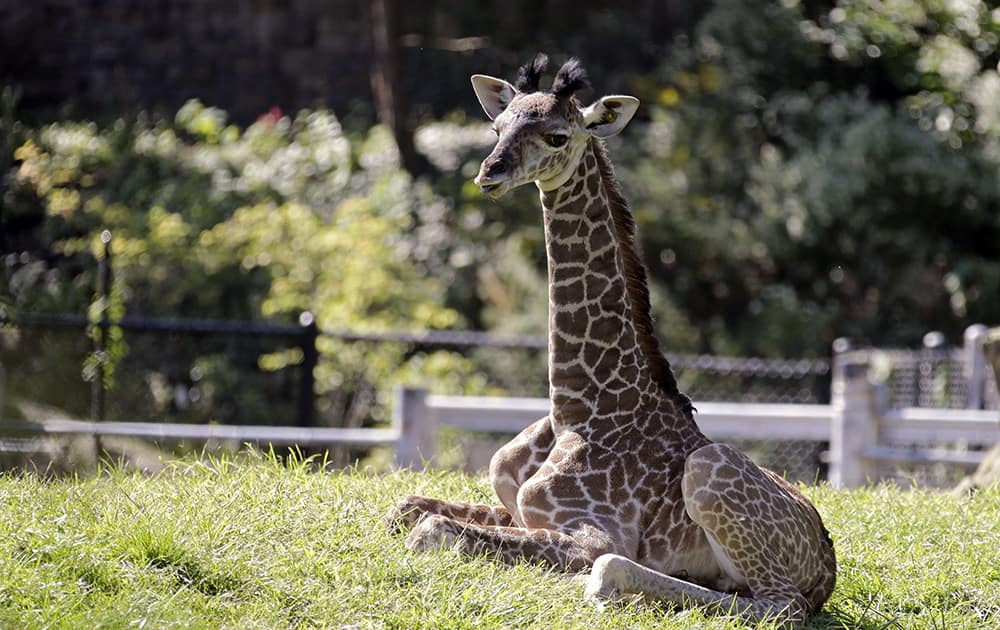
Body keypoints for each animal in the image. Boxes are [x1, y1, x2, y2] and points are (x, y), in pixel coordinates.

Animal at [386, 54, 840, 628]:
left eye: (557, 136)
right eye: (497, 127)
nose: (490, 173)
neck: (575, 407)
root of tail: (826, 563)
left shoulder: (591, 533)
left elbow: (432, 531)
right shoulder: (518, 510)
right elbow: (405, 507)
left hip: (711, 474)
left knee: (780, 607)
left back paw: (615, 584)